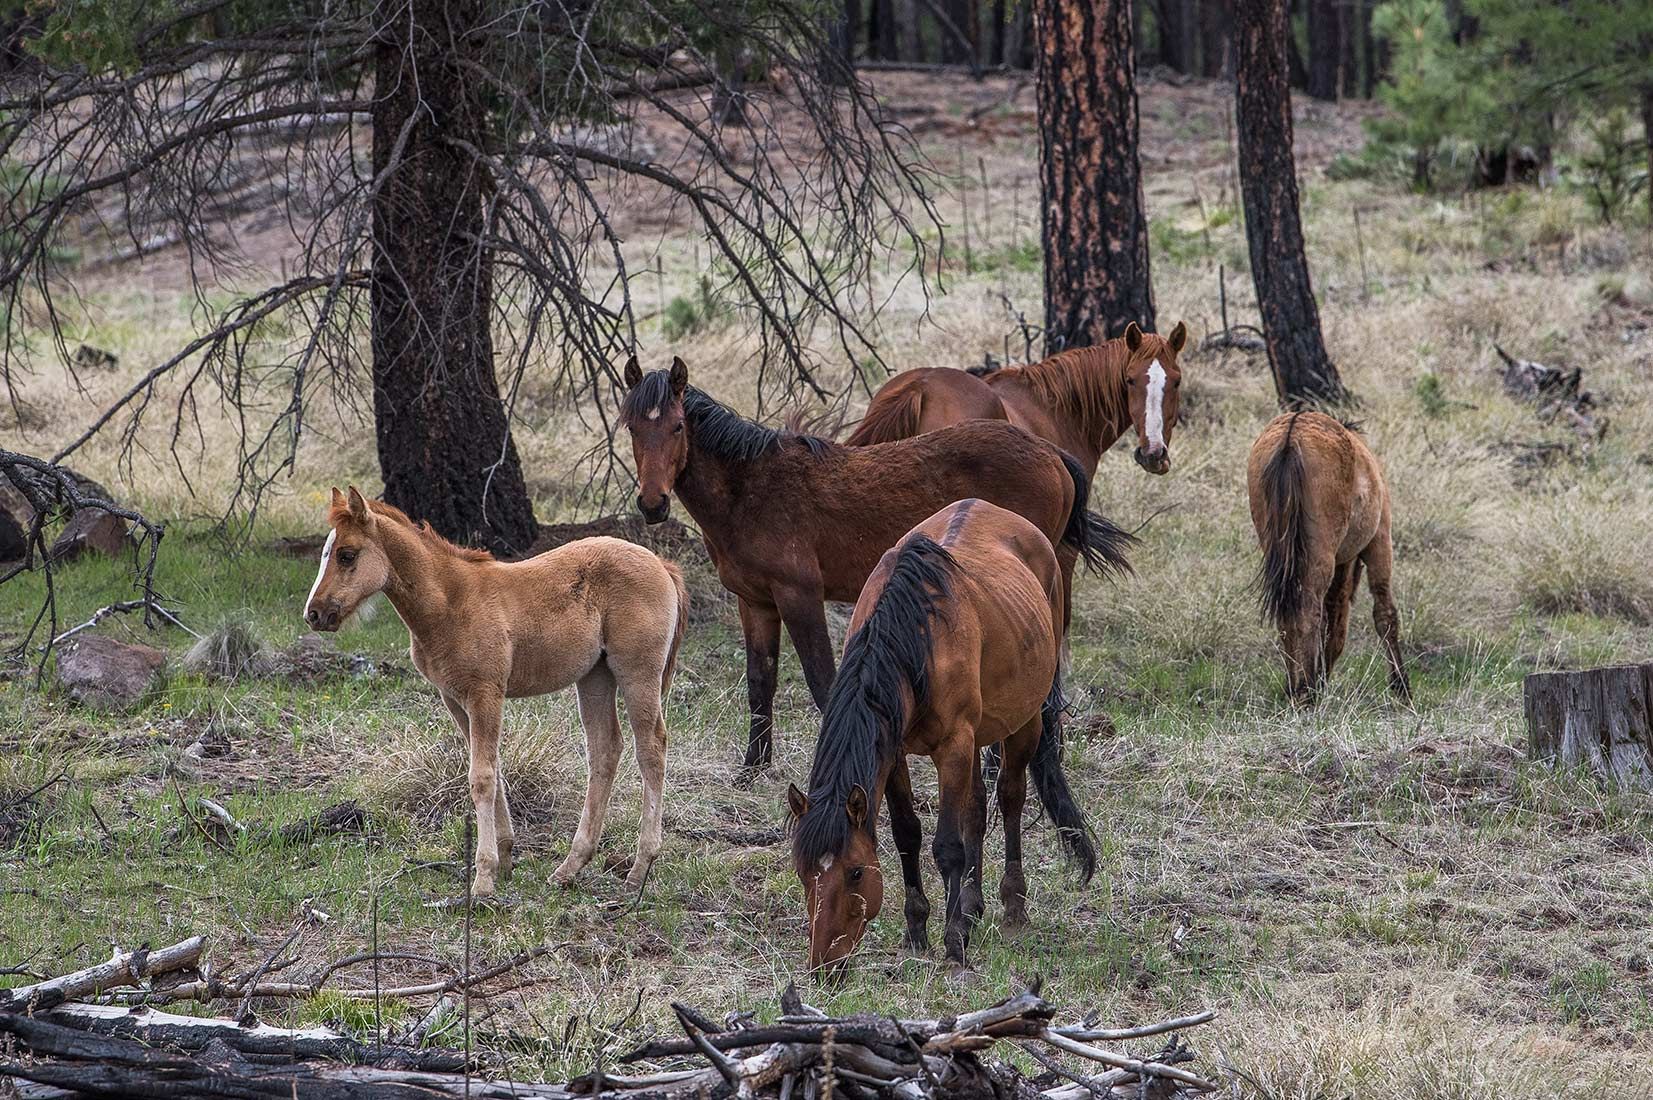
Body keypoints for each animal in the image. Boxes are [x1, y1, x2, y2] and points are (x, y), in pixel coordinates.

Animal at [303, 488, 689, 896]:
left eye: (346, 554)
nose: (314, 613)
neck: (450, 602)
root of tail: (662, 564)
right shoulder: (455, 699)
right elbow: (494, 769)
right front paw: (504, 857)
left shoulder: (485, 693)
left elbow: (482, 778)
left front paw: (483, 877)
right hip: (595, 676)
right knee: (605, 750)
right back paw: (570, 867)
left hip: (637, 672)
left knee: (651, 748)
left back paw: (640, 867)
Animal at [620, 356, 1133, 769]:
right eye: (631, 427)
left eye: (678, 427)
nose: (652, 504)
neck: (752, 489)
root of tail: (1051, 453)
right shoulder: (756, 602)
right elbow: (760, 683)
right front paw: (754, 767)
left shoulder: (799, 596)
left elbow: (822, 684)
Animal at [786, 499, 1096, 974]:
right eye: (804, 871)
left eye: (855, 872)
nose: (824, 964)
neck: (912, 640)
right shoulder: (893, 753)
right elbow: (907, 834)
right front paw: (917, 931)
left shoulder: (953, 747)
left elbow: (948, 845)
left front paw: (953, 943)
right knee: (977, 806)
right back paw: (972, 905)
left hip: (1024, 722)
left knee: (1010, 796)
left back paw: (1012, 908)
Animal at [1248, 412, 1411, 704]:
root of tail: (1291, 438)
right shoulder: (1379, 542)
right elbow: (1384, 614)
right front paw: (1401, 687)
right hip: (1321, 555)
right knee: (1308, 612)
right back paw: (1307, 690)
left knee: (1288, 614)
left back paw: (1296, 688)